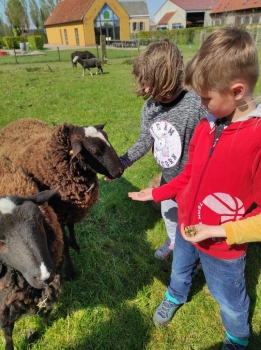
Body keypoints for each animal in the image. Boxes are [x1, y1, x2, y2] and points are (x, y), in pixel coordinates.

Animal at [0, 119, 123, 280]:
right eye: (95, 150)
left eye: (107, 139)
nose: (120, 170)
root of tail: (19, 120)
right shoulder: (57, 215)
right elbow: (63, 243)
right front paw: (70, 270)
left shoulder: (71, 208)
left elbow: (71, 226)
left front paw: (75, 244)